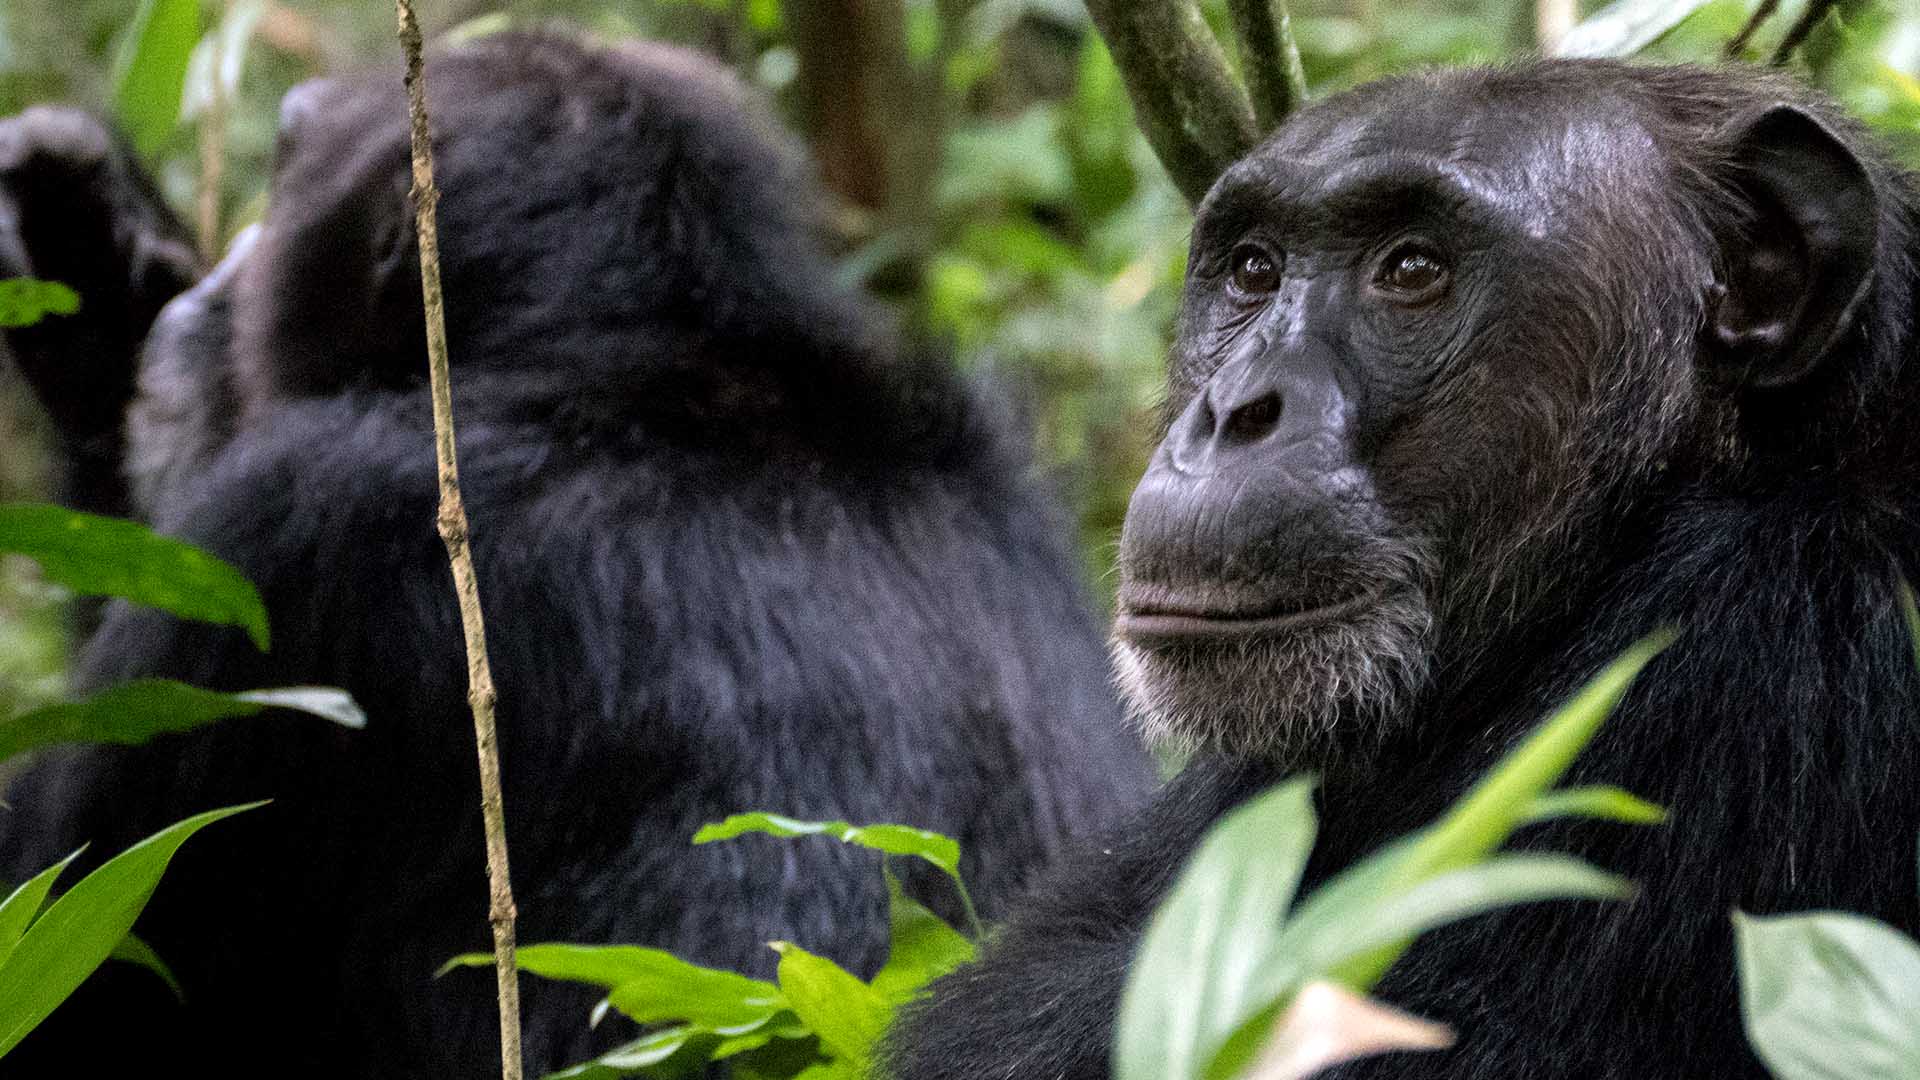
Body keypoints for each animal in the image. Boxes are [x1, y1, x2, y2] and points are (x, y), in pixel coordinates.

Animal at [0, 29, 1144, 1068]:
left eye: (284, 163)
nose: (221, 278)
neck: (653, 363)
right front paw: (85, 237)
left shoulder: (301, 543)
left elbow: (67, 937)